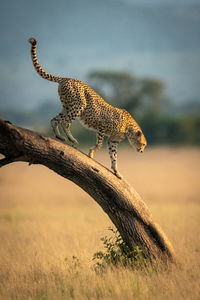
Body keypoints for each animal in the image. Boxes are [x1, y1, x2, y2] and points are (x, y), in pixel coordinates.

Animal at [28, 37, 147, 178]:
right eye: (143, 144)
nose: (142, 151)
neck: (128, 128)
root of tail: (67, 78)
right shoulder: (102, 127)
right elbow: (99, 144)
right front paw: (91, 153)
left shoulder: (113, 140)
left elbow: (114, 156)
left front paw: (116, 171)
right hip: (79, 105)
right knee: (65, 122)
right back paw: (72, 139)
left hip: (66, 106)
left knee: (54, 120)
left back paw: (60, 137)